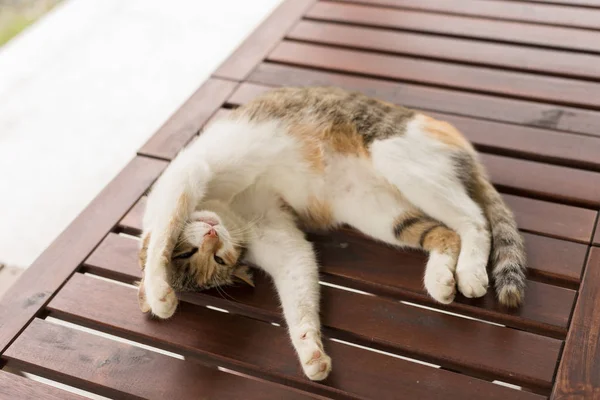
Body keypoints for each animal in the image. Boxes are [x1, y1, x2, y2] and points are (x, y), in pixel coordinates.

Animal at [136, 86, 524, 382]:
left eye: (194, 254)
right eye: (216, 259)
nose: (212, 235)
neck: (229, 210)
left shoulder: (187, 174)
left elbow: (164, 230)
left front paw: (159, 294)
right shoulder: (274, 234)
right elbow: (298, 276)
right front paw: (310, 350)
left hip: (396, 155)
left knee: (474, 220)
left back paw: (470, 271)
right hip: (376, 211)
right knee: (445, 232)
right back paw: (441, 279)